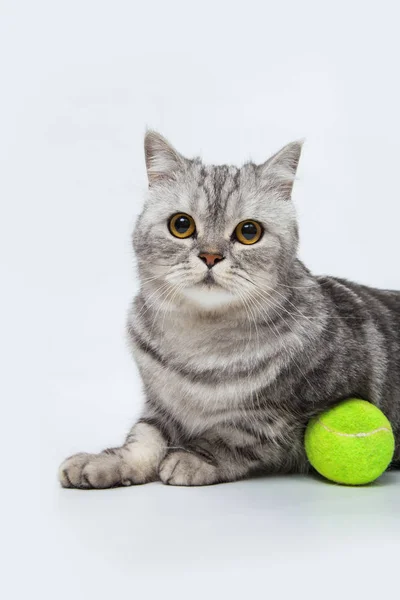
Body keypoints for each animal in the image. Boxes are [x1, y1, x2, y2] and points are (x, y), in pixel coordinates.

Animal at [59, 130, 400, 488]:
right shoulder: (159, 405)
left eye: (249, 232)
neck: (200, 340)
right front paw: (107, 462)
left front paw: (192, 457)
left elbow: (236, 434)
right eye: (181, 225)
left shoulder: (295, 415)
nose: (210, 256)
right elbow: (144, 439)